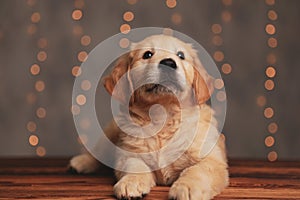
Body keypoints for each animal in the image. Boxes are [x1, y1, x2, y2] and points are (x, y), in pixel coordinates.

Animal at [69, 34, 230, 200]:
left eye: (181, 55)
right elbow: (135, 165)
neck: (163, 116)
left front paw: (188, 188)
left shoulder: (212, 160)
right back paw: (80, 162)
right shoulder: (127, 154)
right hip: (111, 132)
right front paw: (130, 183)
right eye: (147, 54)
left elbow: (197, 170)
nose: (168, 63)